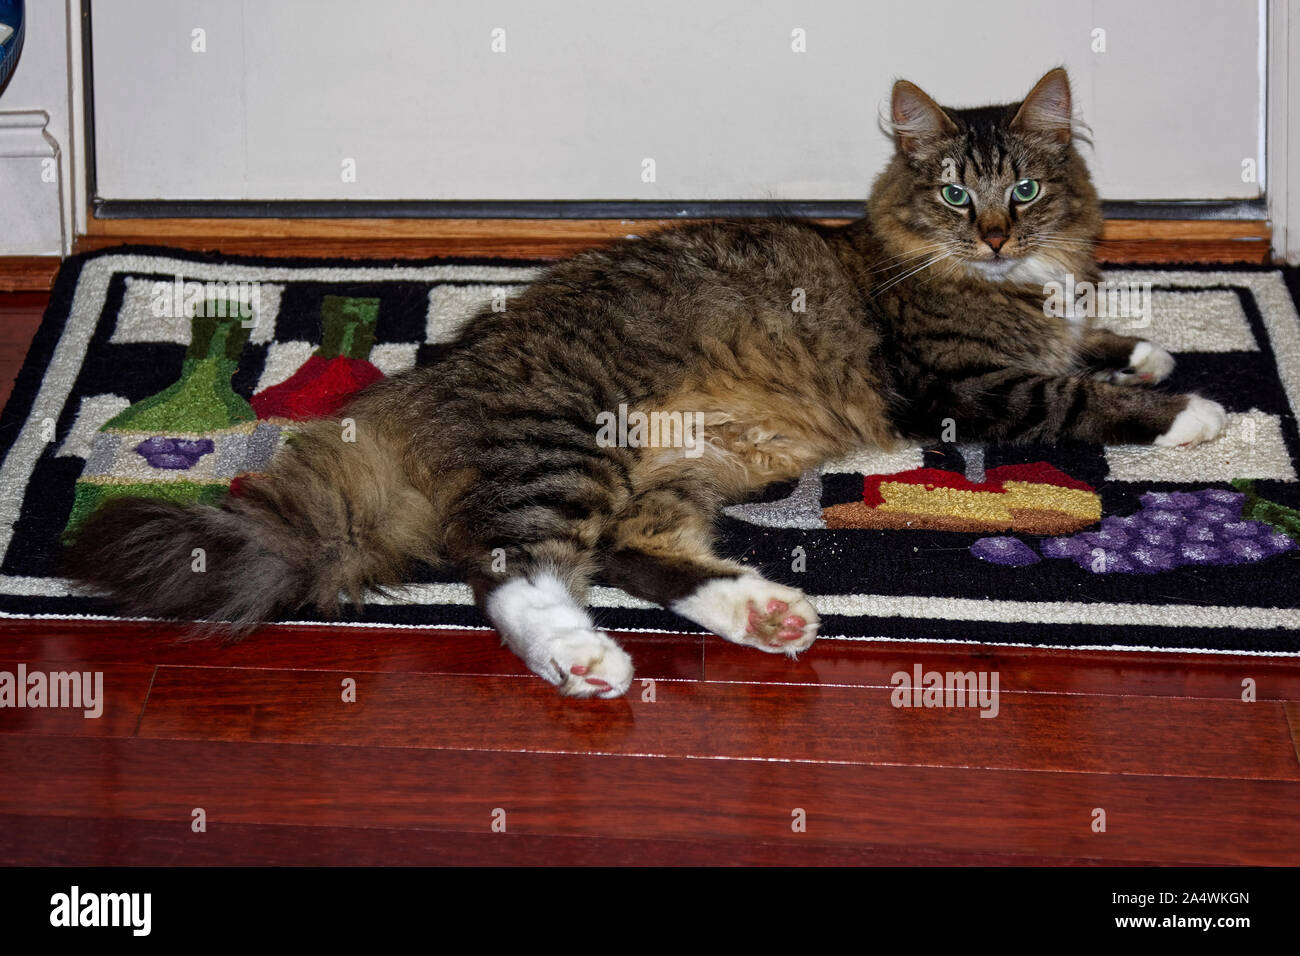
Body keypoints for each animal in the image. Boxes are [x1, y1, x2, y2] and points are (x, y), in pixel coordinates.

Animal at [68, 67, 1227, 697]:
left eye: (1022, 190)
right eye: (954, 193)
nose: (990, 235)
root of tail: (425, 389)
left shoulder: (1041, 324)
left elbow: (1089, 345)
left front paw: (1147, 349)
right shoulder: (963, 386)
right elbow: (1075, 394)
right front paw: (1198, 412)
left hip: (681, 471)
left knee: (628, 554)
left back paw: (760, 612)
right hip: (566, 449)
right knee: (506, 569)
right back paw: (584, 660)